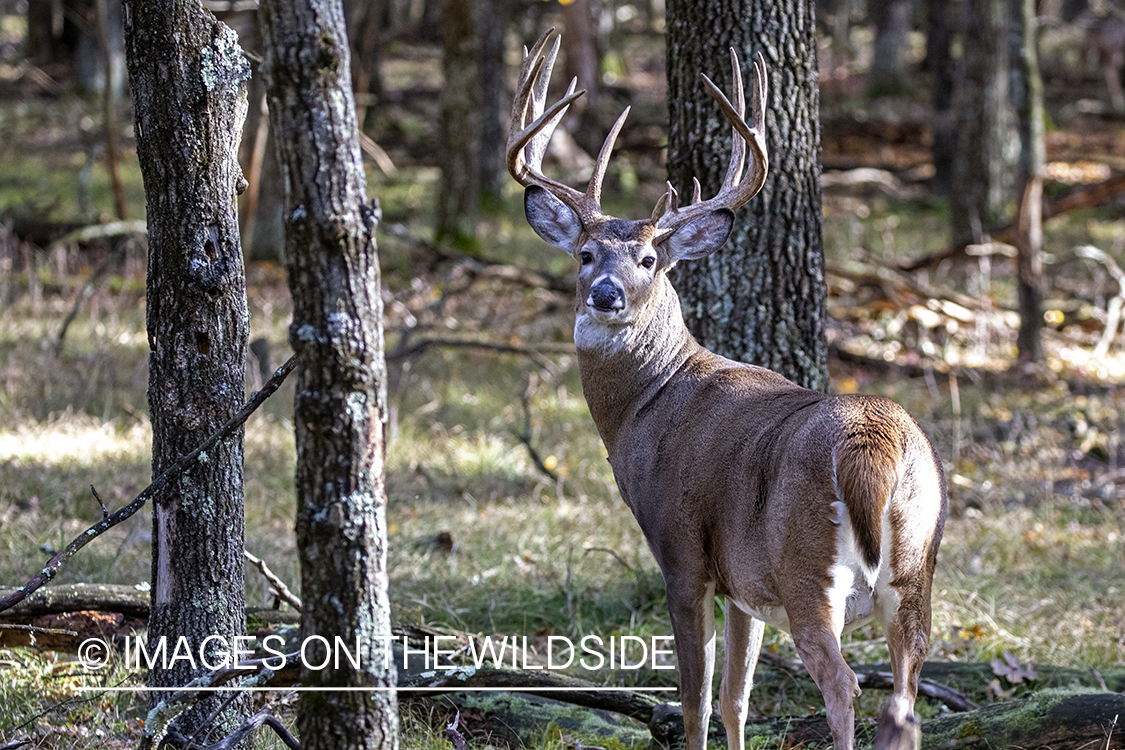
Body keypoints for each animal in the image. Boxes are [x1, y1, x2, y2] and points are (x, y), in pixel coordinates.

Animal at [510, 29, 949, 750]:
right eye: (584, 254)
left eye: (649, 260)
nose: (605, 294)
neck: (645, 405)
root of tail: (875, 441)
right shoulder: (746, 586)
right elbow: (734, 698)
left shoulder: (682, 550)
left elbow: (693, 697)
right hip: (916, 562)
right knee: (905, 693)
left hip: (807, 566)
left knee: (844, 685)